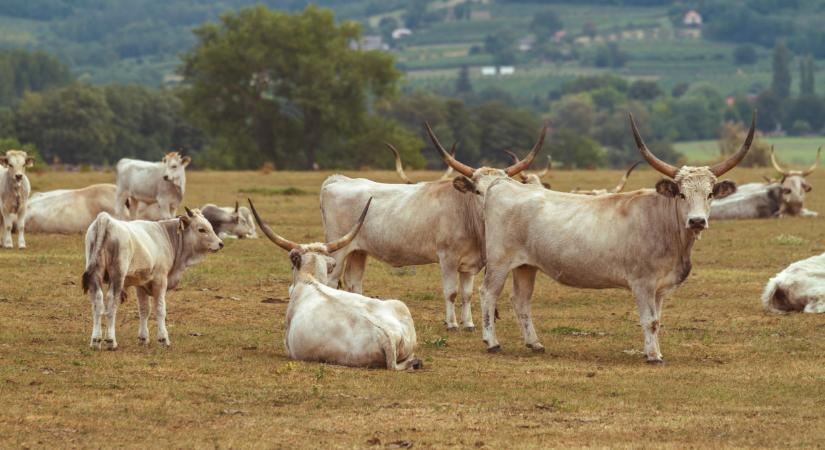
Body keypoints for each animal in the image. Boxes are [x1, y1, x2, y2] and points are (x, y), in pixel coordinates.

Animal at [81, 207, 222, 352]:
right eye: (202, 229)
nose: (220, 243)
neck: (166, 236)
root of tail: (105, 219)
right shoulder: (160, 281)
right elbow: (160, 309)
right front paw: (163, 338)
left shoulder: (140, 285)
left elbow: (144, 310)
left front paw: (143, 338)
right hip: (117, 275)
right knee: (111, 303)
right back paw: (111, 341)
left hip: (96, 274)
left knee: (97, 302)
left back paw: (95, 340)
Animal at [322, 123, 548, 330]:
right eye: (477, 191)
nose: (490, 209)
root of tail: (337, 179)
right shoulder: (447, 258)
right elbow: (451, 292)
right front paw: (452, 324)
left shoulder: (469, 263)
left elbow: (467, 294)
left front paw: (469, 323)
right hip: (338, 249)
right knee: (331, 281)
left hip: (358, 251)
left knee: (353, 281)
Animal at [476, 111, 752, 362]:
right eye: (682, 194)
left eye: (710, 194)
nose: (697, 221)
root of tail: (502, 185)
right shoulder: (642, 283)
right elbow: (649, 320)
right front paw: (653, 356)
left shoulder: (660, 288)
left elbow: (658, 320)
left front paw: (655, 350)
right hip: (500, 261)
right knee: (488, 293)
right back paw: (492, 343)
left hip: (525, 266)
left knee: (521, 300)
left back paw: (534, 344)